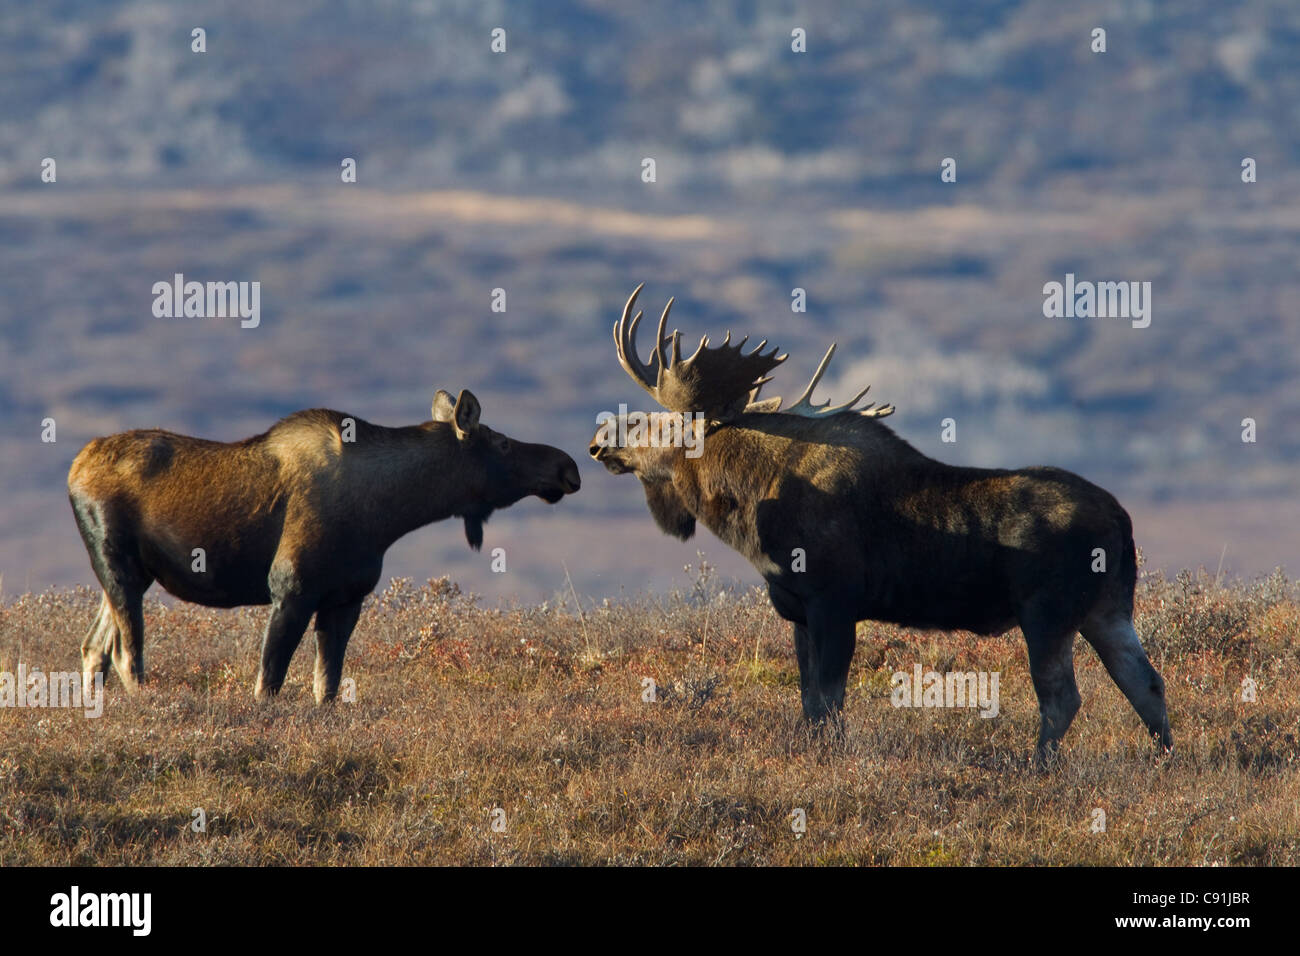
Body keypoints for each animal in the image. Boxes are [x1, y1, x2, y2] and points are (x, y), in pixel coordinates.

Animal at [69, 390, 579, 702]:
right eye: (503, 443)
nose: (567, 466)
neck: (390, 512)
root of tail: (75, 468)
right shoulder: (292, 590)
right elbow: (268, 684)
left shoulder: (345, 600)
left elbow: (326, 688)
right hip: (118, 566)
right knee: (126, 655)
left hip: (131, 576)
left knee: (94, 648)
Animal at [595, 283, 1175, 764]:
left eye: (663, 423)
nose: (601, 438)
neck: (750, 506)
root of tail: (1123, 522)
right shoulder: (799, 611)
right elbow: (809, 701)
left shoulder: (835, 601)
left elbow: (830, 699)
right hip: (1107, 609)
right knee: (1146, 682)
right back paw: (1165, 758)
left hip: (1048, 613)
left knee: (1062, 697)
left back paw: (1038, 765)